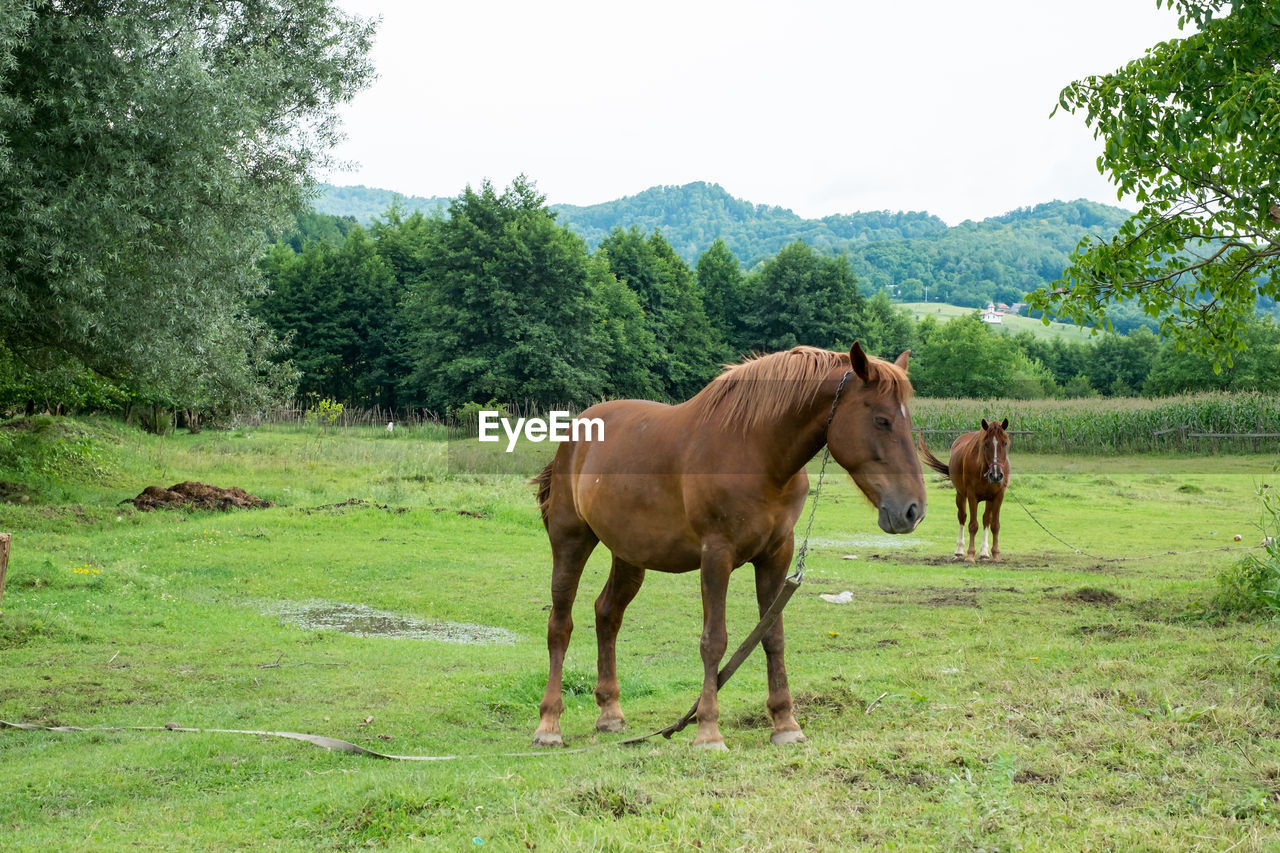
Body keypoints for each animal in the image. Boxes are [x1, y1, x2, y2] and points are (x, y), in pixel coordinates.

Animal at [524, 343, 926, 747]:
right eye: (881, 420)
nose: (912, 510)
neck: (757, 452)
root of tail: (576, 432)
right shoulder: (716, 556)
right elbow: (714, 640)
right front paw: (708, 730)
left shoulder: (776, 556)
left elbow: (772, 636)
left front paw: (785, 723)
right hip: (571, 541)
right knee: (560, 625)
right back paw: (548, 725)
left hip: (629, 555)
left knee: (607, 614)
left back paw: (610, 713)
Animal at [921, 417, 1008, 560]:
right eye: (986, 444)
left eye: (1005, 443)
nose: (996, 475)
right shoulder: (972, 496)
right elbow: (973, 525)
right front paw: (970, 555)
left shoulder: (998, 496)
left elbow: (995, 525)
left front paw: (995, 555)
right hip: (960, 495)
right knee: (962, 517)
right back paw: (959, 550)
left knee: (986, 520)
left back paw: (984, 552)